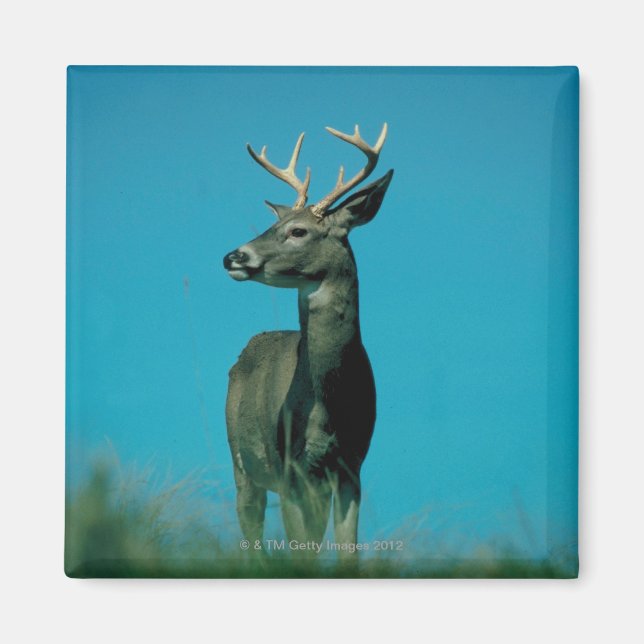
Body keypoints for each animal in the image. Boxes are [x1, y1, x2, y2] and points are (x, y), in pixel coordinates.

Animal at [223, 123, 393, 559]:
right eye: (273, 226)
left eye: (298, 231)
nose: (232, 256)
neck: (330, 406)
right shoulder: (289, 468)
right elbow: (301, 552)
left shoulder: (351, 466)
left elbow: (347, 552)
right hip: (242, 462)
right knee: (251, 536)